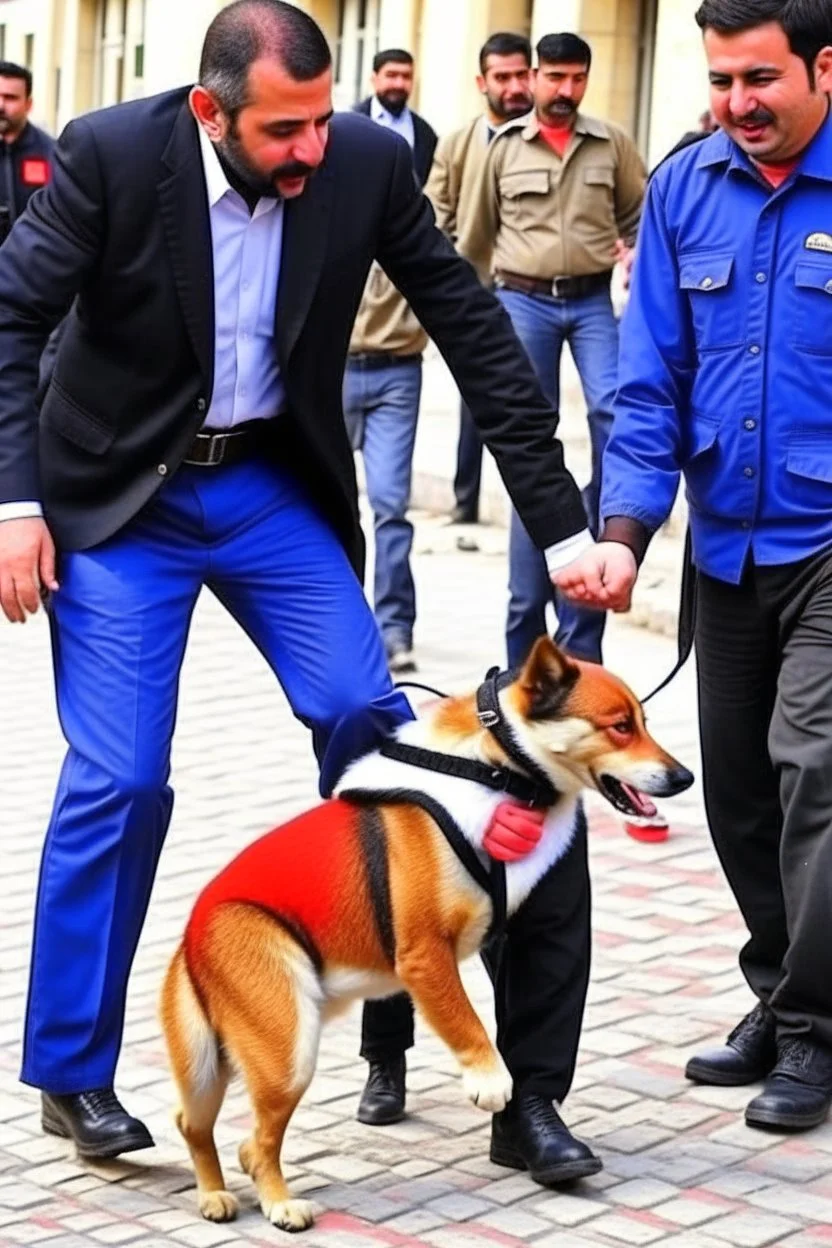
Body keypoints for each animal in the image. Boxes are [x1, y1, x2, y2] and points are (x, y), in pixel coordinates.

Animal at [159, 638, 693, 1233]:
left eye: (643, 722)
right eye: (620, 726)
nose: (683, 778)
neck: (496, 769)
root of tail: (191, 940)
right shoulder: (423, 957)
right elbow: (467, 1022)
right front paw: (489, 1079)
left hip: (217, 1061)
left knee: (191, 1122)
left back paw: (213, 1196)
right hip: (286, 1050)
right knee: (255, 1146)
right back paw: (279, 1205)